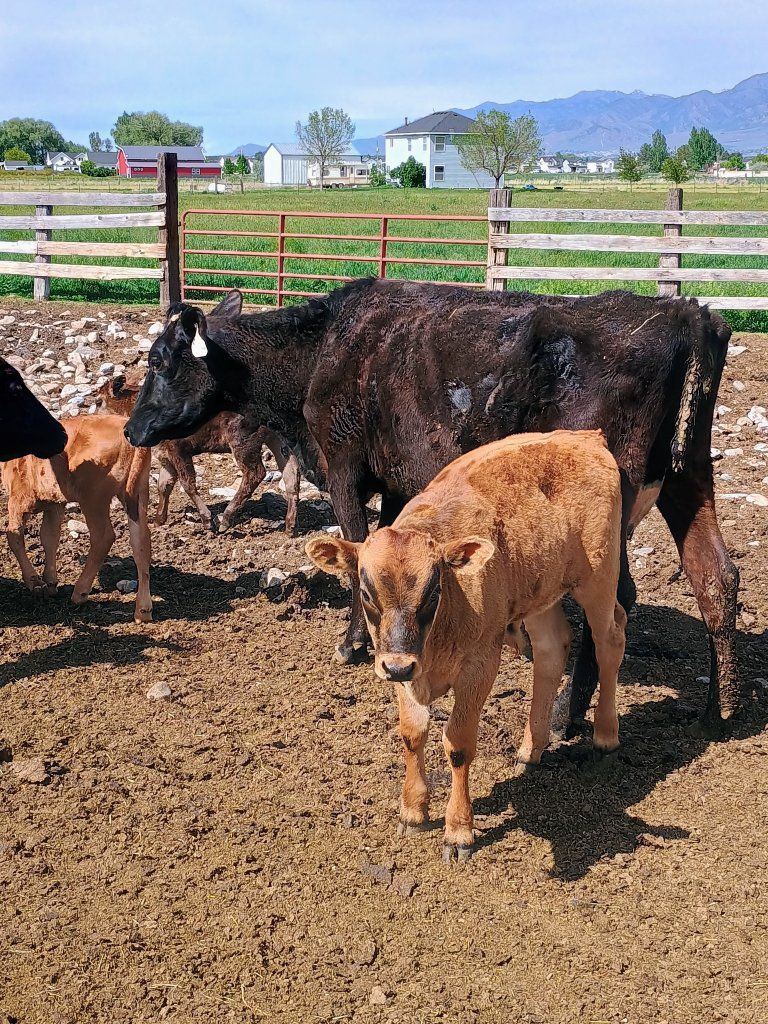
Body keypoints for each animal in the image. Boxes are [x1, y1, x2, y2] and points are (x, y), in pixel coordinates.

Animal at [2, 414, 152, 622]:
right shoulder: (54, 503)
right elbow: (49, 536)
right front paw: (50, 583)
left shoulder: (19, 499)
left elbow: (14, 536)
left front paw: (35, 582)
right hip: (138, 494)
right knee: (141, 542)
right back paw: (143, 610)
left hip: (93, 498)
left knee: (104, 537)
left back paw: (80, 592)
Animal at [97, 370, 302, 534]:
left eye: (99, 401)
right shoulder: (166, 457)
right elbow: (164, 485)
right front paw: (158, 520)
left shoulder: (179, 451)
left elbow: (187, 483)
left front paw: (206, 520)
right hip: (278, 440)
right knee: (291, 474)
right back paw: (289, 526)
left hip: (243, 442)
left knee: (256, 473)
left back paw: (225, 520)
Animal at [124, 279, 737, 729]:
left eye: (158, 361)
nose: (131, 429)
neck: (322, 350)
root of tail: (685, 313)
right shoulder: (398, 481)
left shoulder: (344, 466)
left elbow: (356, 549)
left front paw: (352, 644)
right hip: (687, 478)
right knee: (715, 574)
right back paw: (718, 710)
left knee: (617, 598)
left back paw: (567, 716)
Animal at [306, 430, 626, 860]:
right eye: (367, 592)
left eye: (433, 591)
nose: (398, 666)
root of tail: (584, 437)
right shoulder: (404, 668)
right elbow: (412, 732)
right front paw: (413, 810)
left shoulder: (480, 664)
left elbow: (457, 743)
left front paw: (458, 830)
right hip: (540, 593)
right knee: (551, 647)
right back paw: (531, 749)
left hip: (599, 578)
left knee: (610, 639)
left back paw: (606, 735)